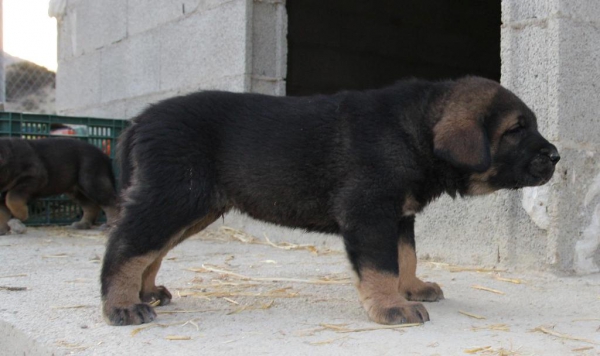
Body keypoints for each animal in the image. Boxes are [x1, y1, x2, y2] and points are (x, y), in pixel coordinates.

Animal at [99, 77, 556, 326]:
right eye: (517, 129)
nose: (555, 157)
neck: (414, 131)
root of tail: (138, 121)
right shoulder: (369, 213)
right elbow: (381, 266)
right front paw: (391, 306)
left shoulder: (398, 216)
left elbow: (405, 257)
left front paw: (411, 288)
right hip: (175, 196)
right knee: (127, 245)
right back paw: (122, 305)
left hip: (192, 207)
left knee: (151, 249)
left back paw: (146, 292)